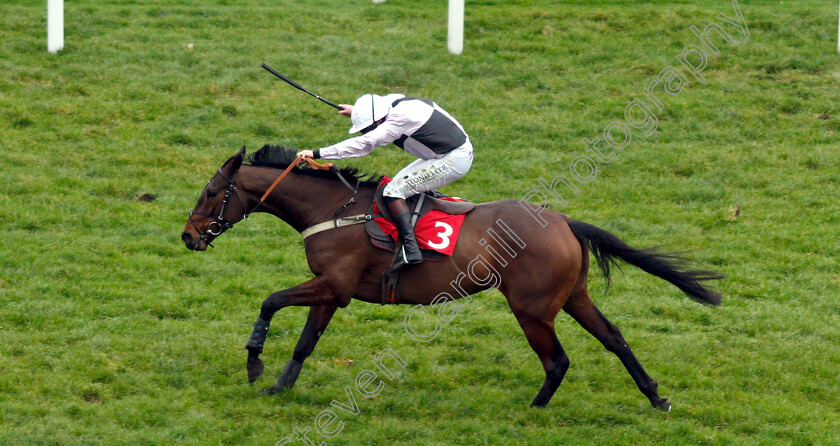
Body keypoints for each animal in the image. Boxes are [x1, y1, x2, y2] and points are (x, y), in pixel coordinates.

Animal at [180, 145, 720, 410]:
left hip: (532, 308)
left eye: (211, 192)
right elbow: (306, 342)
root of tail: (564, 221)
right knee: (614, 337)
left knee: (558, 360)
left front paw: (255, 364)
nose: (188, 236)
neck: (333, 209)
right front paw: (279, 386)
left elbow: (270, 301)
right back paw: (655, 396)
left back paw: (536, 407)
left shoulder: (334, 286)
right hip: (573, 297)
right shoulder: (333, 291)